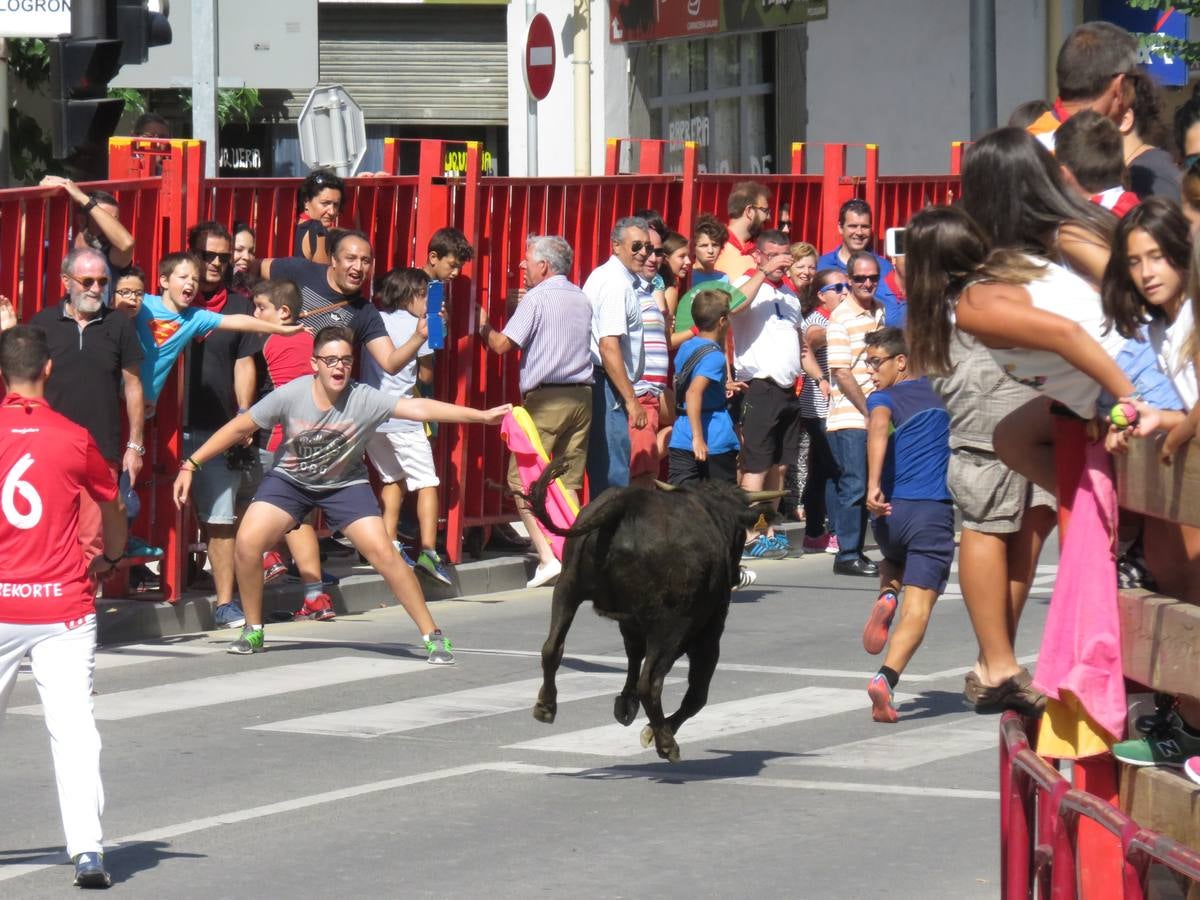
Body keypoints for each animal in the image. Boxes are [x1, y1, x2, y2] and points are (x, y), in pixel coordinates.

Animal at [523, 460, 777, 763]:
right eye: (740, 534)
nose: (737, 573)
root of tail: (628, 503)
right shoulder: (708, 629)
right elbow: (697, 694)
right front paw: (652, 730)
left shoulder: (631, 622)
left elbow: (634, 656)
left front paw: (625, 703)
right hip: (671, 624)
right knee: (652, 681)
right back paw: (666, 742)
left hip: (567, 589)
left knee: (552, 648)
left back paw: (546, 706)